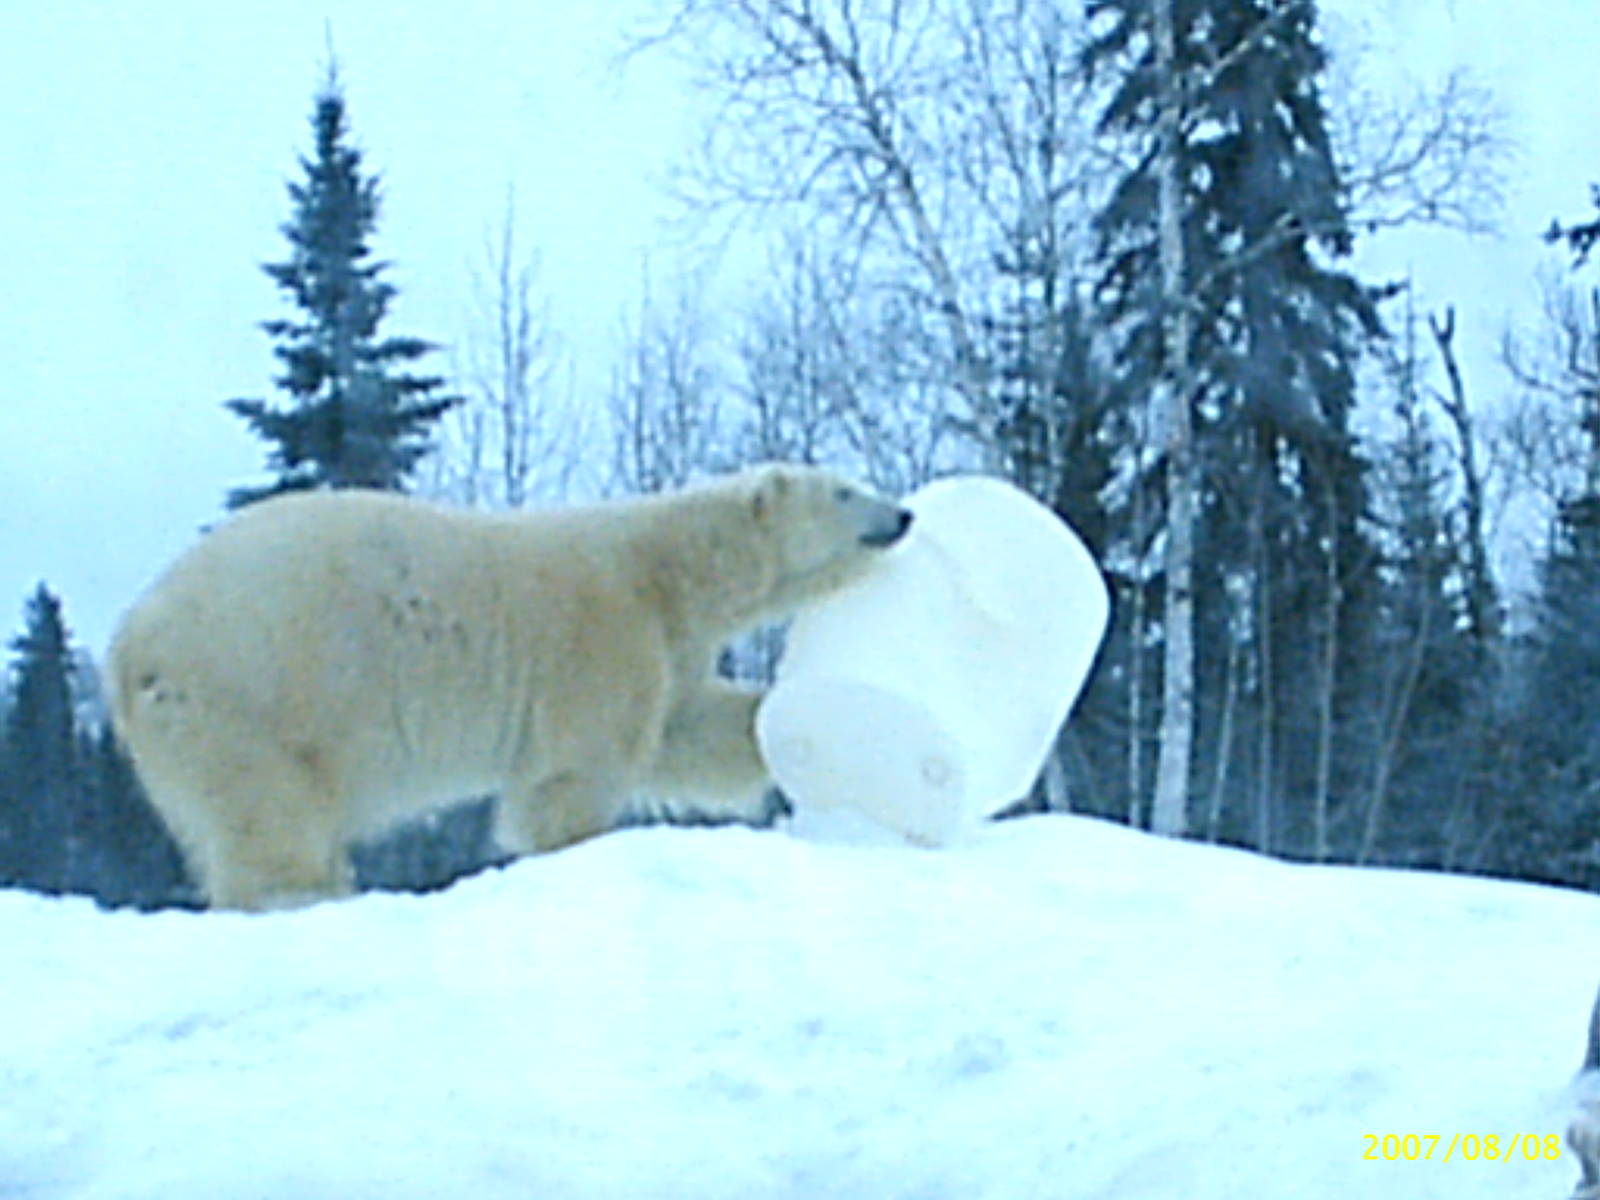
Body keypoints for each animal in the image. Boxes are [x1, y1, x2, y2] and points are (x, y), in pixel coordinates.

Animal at [107, 463, 913, 911]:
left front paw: (781, 715)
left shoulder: (670, 648)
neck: (665, 568)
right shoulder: (600, 631)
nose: (903, 514)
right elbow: (580, 768)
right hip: (250, 696)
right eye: (844, 490)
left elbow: (686, 729)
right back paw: (305, 895)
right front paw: (577, 848)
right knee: (273, 820)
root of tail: (128, 646)